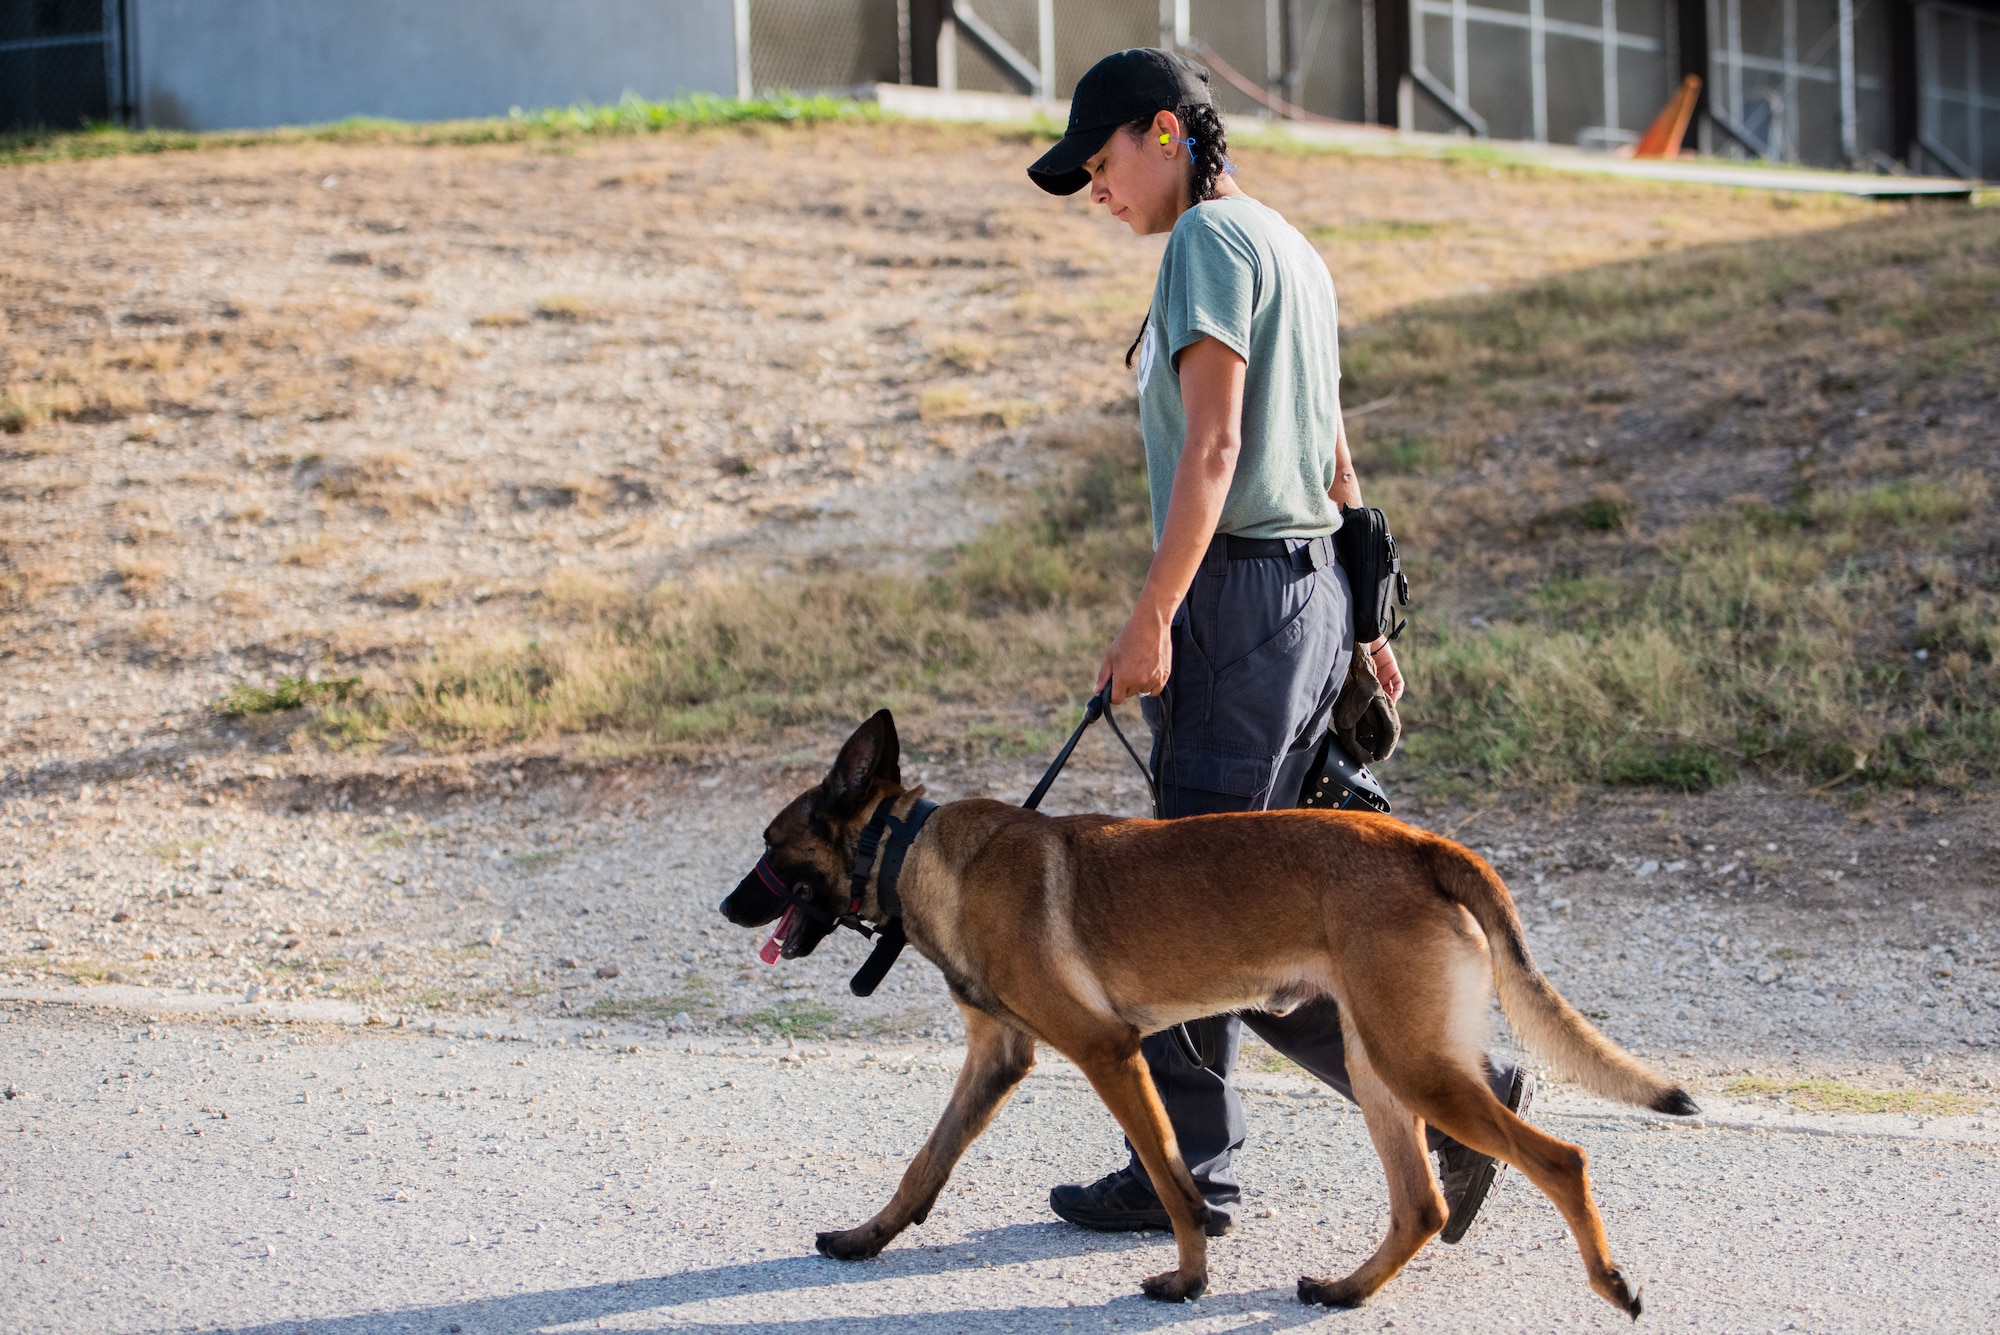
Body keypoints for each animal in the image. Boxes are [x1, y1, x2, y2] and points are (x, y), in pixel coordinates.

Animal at [728, 707, 1696, 1311]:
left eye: (772, 844)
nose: (728, 906)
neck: (914, 850)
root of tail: (1421, 842)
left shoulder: (1109, 1050)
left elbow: (1172, 1178)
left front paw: (1186, 1280)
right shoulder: (998, 1060)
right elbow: (923, 1165)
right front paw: (866, 1237)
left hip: (1409, 1063)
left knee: (1560, 1157)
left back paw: (1610, 1281)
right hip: (1378, 1063)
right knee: (1420, 1202)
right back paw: (1346, 1290)